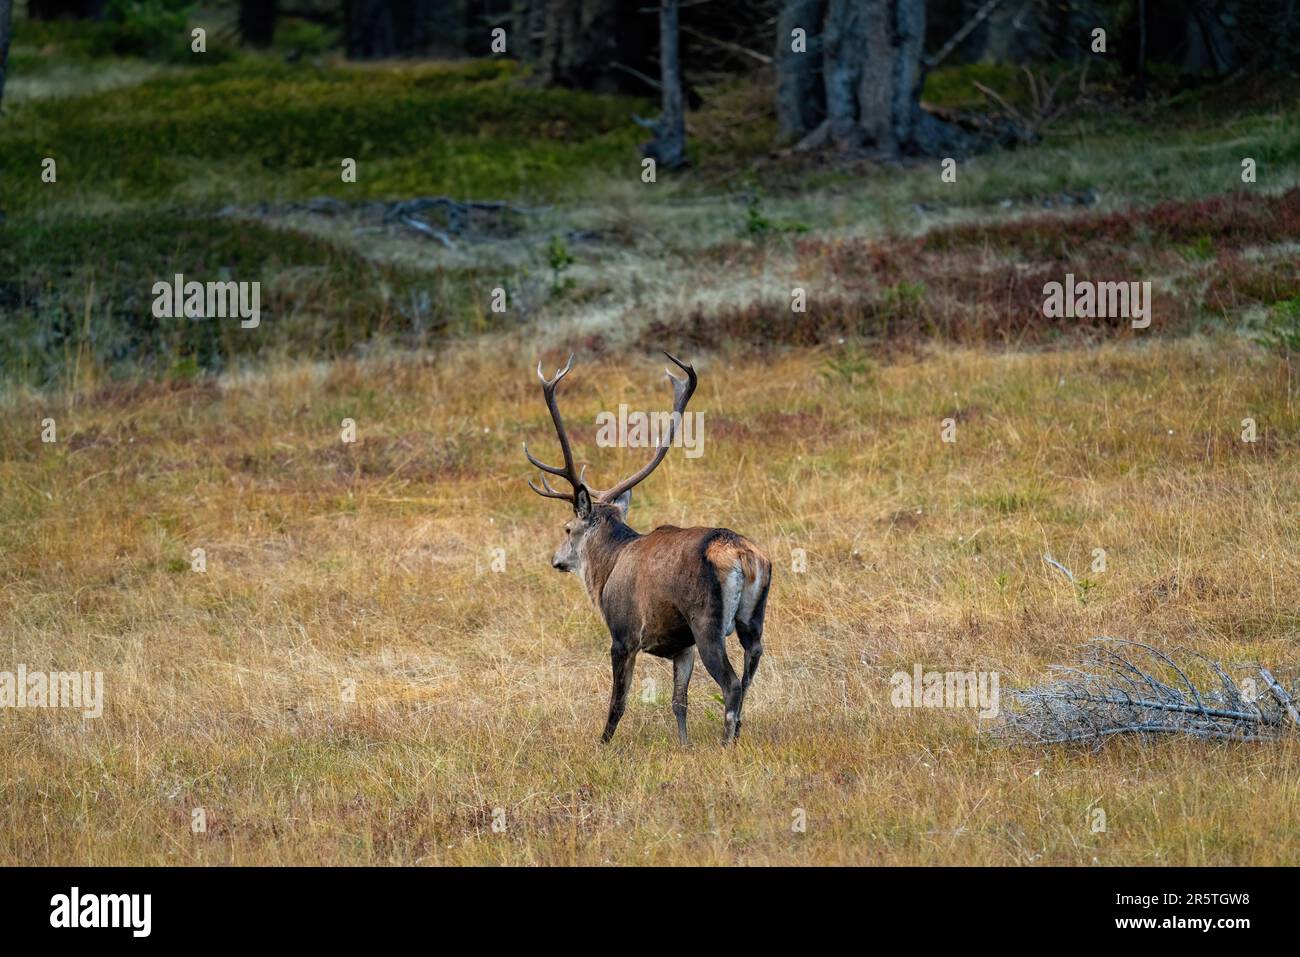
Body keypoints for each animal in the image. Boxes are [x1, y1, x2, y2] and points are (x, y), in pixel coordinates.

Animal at [525, 353, 769, 748]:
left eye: (567, 528)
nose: (555, 559)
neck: (606, 570)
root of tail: (740, 555)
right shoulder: (682, 647)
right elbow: (678, 701)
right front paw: (684, 746)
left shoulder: (623, 634)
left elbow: (619, 701)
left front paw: (602, 745)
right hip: (753, 618)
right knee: (749, 673)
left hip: (708, 622)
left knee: (731, 684)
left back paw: (725, 744)